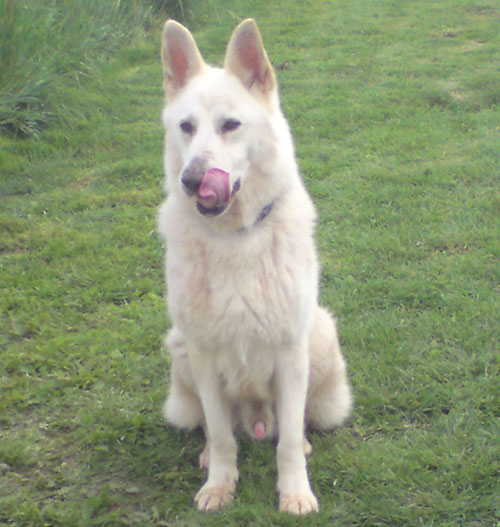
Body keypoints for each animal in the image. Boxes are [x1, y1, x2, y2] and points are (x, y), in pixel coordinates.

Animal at [159, 17, 352, 516]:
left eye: (231, 126)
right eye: (186, 127)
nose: (192, 181)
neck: (235, 238)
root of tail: (257, 418)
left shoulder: (289, 352)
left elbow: (287, 444)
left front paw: (295, 492)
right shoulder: (203, 354)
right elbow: (222, 433)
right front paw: (219, 483)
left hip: (320, 335)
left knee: (292, 424)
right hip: (180, 349)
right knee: (217, 427)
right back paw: (208, 455)